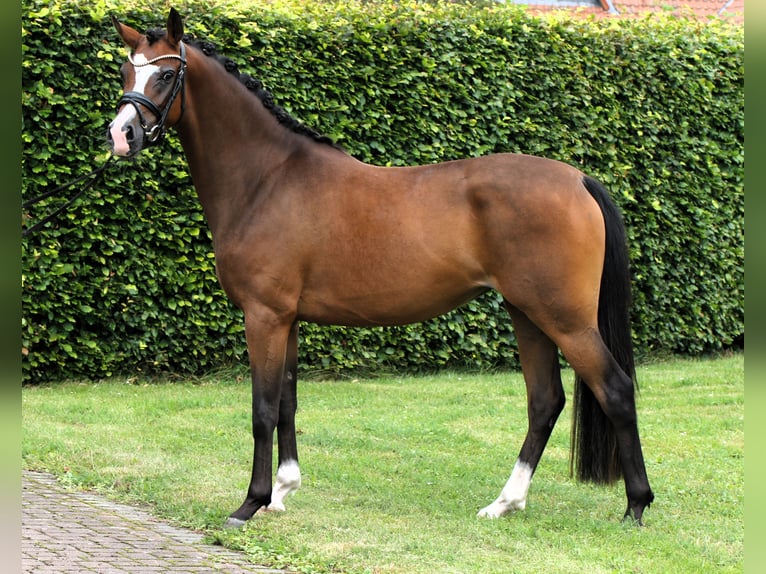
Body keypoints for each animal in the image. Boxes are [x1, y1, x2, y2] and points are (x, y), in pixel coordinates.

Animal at [106, 9, 656, 532]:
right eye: (126, 70)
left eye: (166, 74)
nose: (121, 135)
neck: (268, 179)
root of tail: (579, 180)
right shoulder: (288, 319)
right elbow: (287, 403)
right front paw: (283, 492)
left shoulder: (264, 315)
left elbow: (262, 409)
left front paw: (250, 504)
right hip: (527, 313)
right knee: (544, 401)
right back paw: (505, 503)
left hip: (565, 319)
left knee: (615, 390)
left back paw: (635, 507)